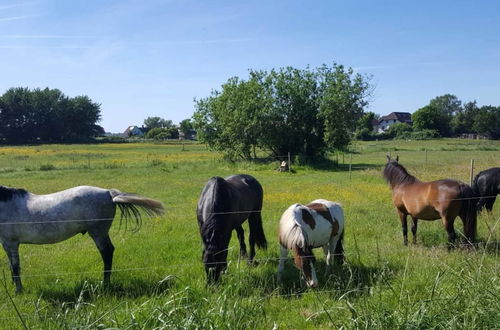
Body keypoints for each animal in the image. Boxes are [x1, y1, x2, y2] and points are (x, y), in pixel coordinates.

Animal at [0, 184, 164, 292]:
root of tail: (108, 193)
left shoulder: (11, 243)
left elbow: (15, 266)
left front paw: (18, 291)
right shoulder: (8, 244)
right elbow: (11, 266)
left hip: (98, 232)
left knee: (107, 252)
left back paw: (105, 284)